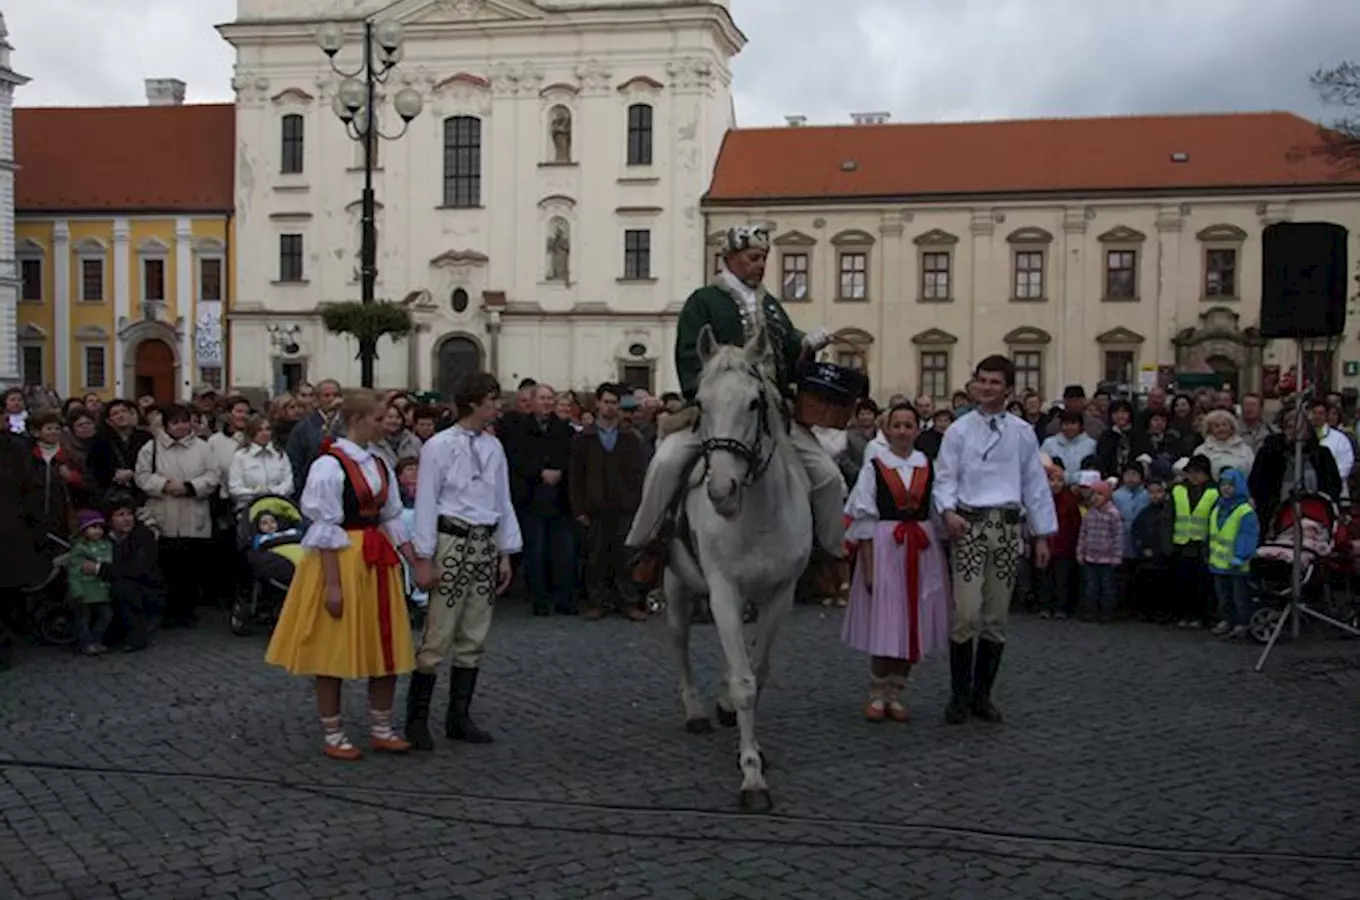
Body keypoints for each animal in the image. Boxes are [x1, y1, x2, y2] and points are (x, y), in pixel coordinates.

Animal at [663, 322, 810, 810]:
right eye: (702, 403)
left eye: (754, 402)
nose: (722, 490)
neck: (757, 515)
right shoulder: (724, 591)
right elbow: (745, 681)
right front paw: (751, 777)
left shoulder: (780, 594)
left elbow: (757, 672)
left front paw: (753, 749)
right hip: (676, 586)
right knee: (680, 642)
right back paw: (694, 711)